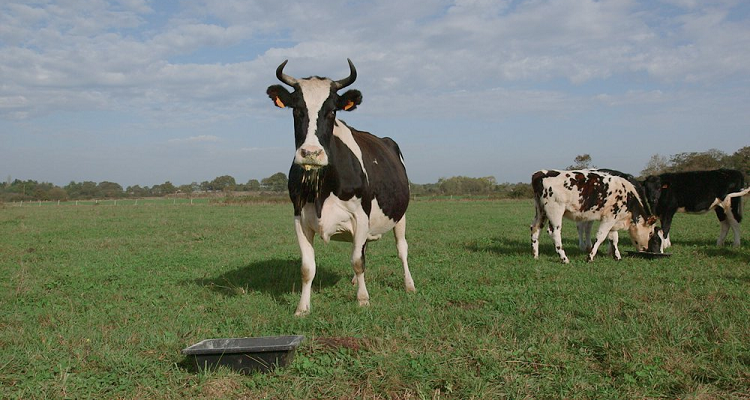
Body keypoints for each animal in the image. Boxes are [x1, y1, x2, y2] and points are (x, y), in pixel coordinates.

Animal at [266, 59, 415, 316]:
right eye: (297, 110)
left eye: (332, 111)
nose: (311, 153)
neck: (322, 189)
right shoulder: (299, 217)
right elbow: (307, 268)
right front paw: (302, 308)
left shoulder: (361, 215)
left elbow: (357, 261)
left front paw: (363, 300)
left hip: (400, 215)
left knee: (401, 249)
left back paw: (409, 284)